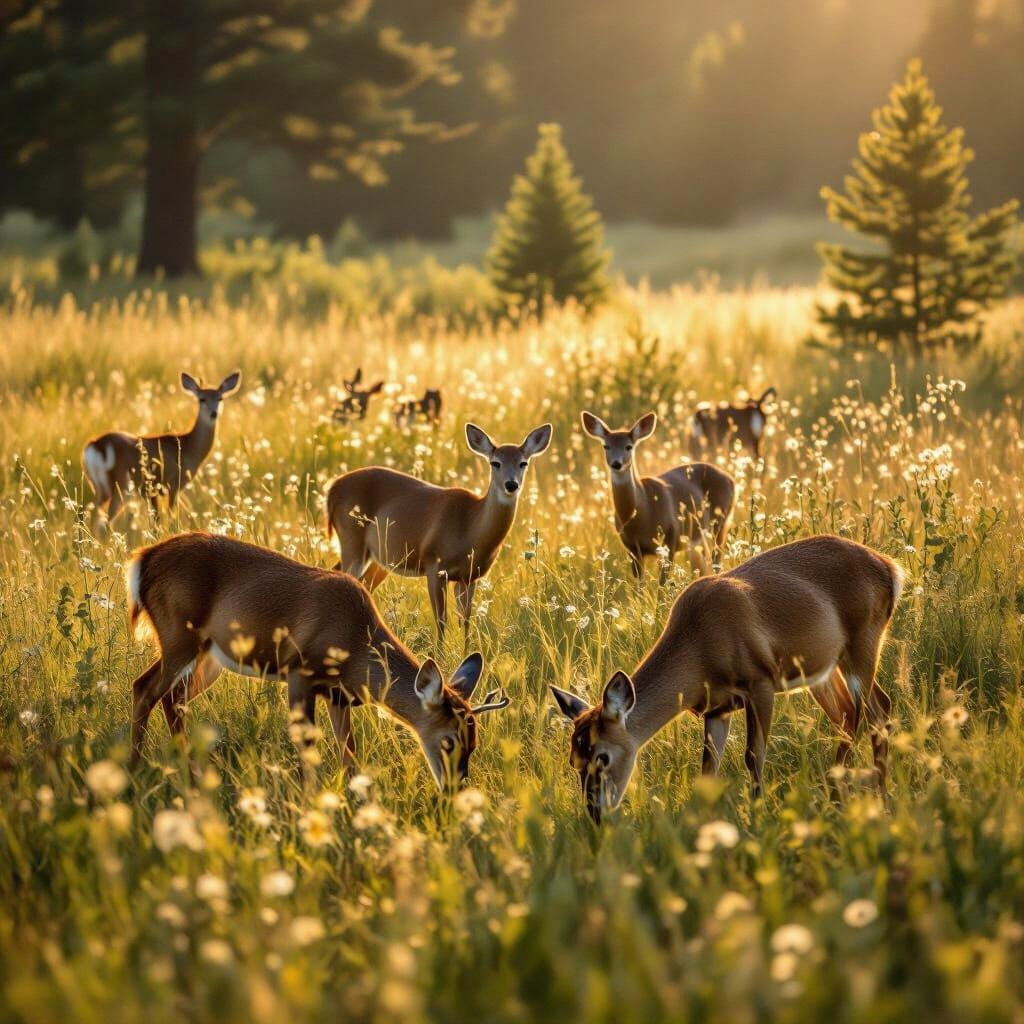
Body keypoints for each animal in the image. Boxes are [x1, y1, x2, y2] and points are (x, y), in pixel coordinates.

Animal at [82, 370, 241, 525]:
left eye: (220, 399)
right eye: (202, 399)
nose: (213, 414)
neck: (189, 447)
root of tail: (98, 444)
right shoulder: (174, 483)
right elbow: (171, 516)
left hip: (98, 486)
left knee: (88, 514)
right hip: (122, 484)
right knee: (104, 522)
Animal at [125, 532, 510, 788]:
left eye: (474, 743)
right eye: (448, 740)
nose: (454, 790)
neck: (356, 645)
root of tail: (144, 558)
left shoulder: (338, 695)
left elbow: (349, 753)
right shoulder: (300, 671)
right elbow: (307, 747)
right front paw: (309, 800)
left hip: (207, 654)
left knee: (173, 698)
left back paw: (191, 773)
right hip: (179, 634)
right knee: (144, 687)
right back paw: (134, 771)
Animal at [326, 422, 552, 641]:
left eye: (523, 463)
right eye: (495, 463)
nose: (511, 484)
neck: (471, 528)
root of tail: (333, 488)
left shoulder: (470, 576)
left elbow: (465, 622)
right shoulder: (434, 564)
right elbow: (441, 621)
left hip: (378, 558)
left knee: (359, 582)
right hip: (352, 538)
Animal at [551, 535, 903, 823]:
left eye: (602, 756)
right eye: (572, 759)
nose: (595, 813)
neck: (699, 648)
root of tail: (891, 568)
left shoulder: (760, 682)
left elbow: (753, 755)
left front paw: (757, 815)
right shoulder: (716, 709)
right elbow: (708, 770)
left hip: (862, 642)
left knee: (872, 713)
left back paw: (860, 796)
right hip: (824, 670)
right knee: (855, 713)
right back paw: (852, 795)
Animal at [581, 411, 735, 582]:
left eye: (628, 446)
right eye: (606, 446)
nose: (616, 463)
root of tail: (731, 480)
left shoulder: (670, 538)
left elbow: (663, 583)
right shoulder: (632, 548)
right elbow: (639, 584)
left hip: (720, 522)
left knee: (716, 561)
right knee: (702, 567)